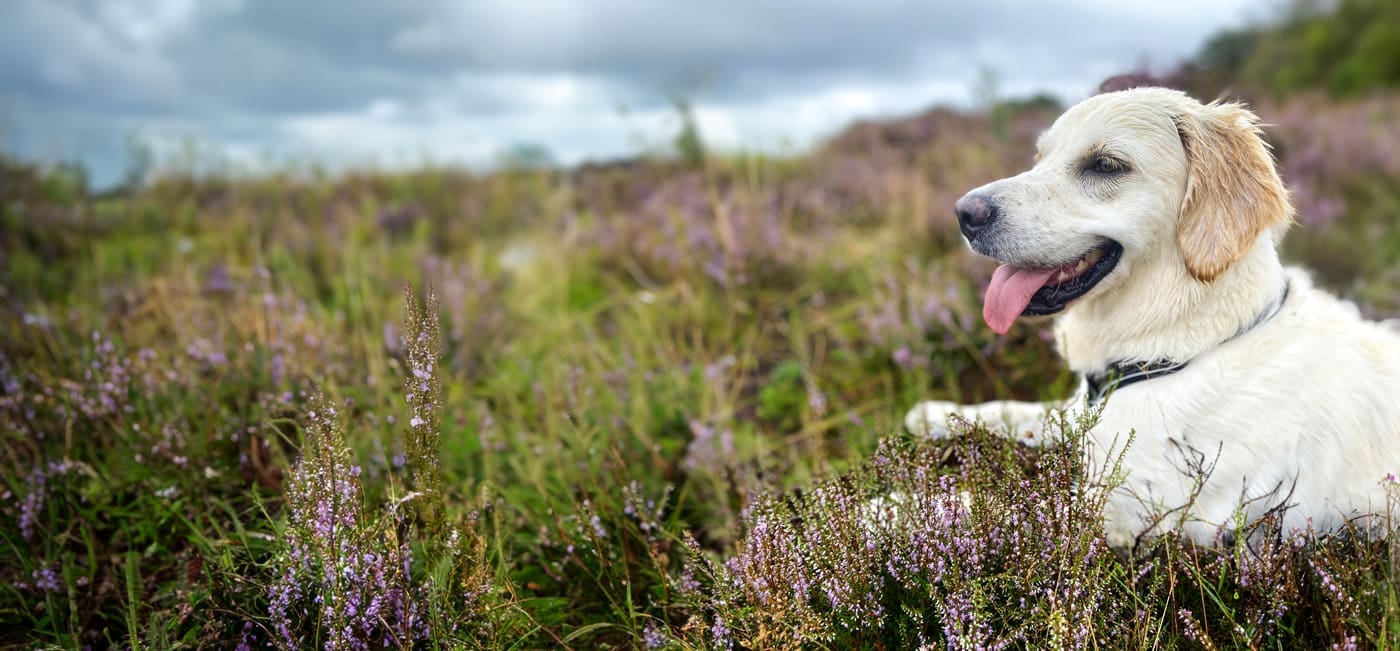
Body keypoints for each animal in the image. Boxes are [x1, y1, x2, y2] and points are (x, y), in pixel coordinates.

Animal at [907, 83, 1400, 546]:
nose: (964, 213)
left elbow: (978, 510)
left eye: (1105, 165)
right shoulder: (1080, 417)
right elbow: (1020, 411)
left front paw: (894, 510)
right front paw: (935, 413)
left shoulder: (1124, 510)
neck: (1184, 346)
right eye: (1040, 158)